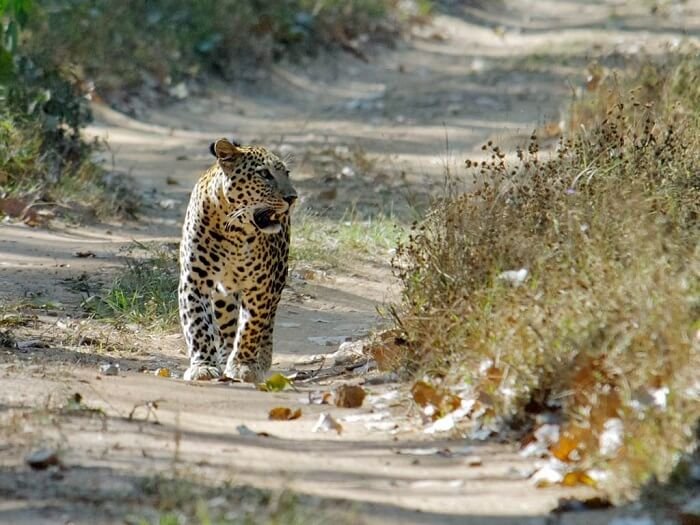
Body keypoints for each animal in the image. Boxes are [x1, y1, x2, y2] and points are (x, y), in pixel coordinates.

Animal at [179, 137, 296, 382]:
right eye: (264, 174)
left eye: (287, 173)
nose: (292, 198)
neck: (234, 231)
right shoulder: (194, 280)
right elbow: (197, 323)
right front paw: (203, 366)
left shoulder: (262, 286)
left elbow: (252, 326)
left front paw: (244, 365)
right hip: (224, 294)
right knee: (226, 326)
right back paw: (224, 356)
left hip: (279, 273)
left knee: (267, 322)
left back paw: (261, 359)